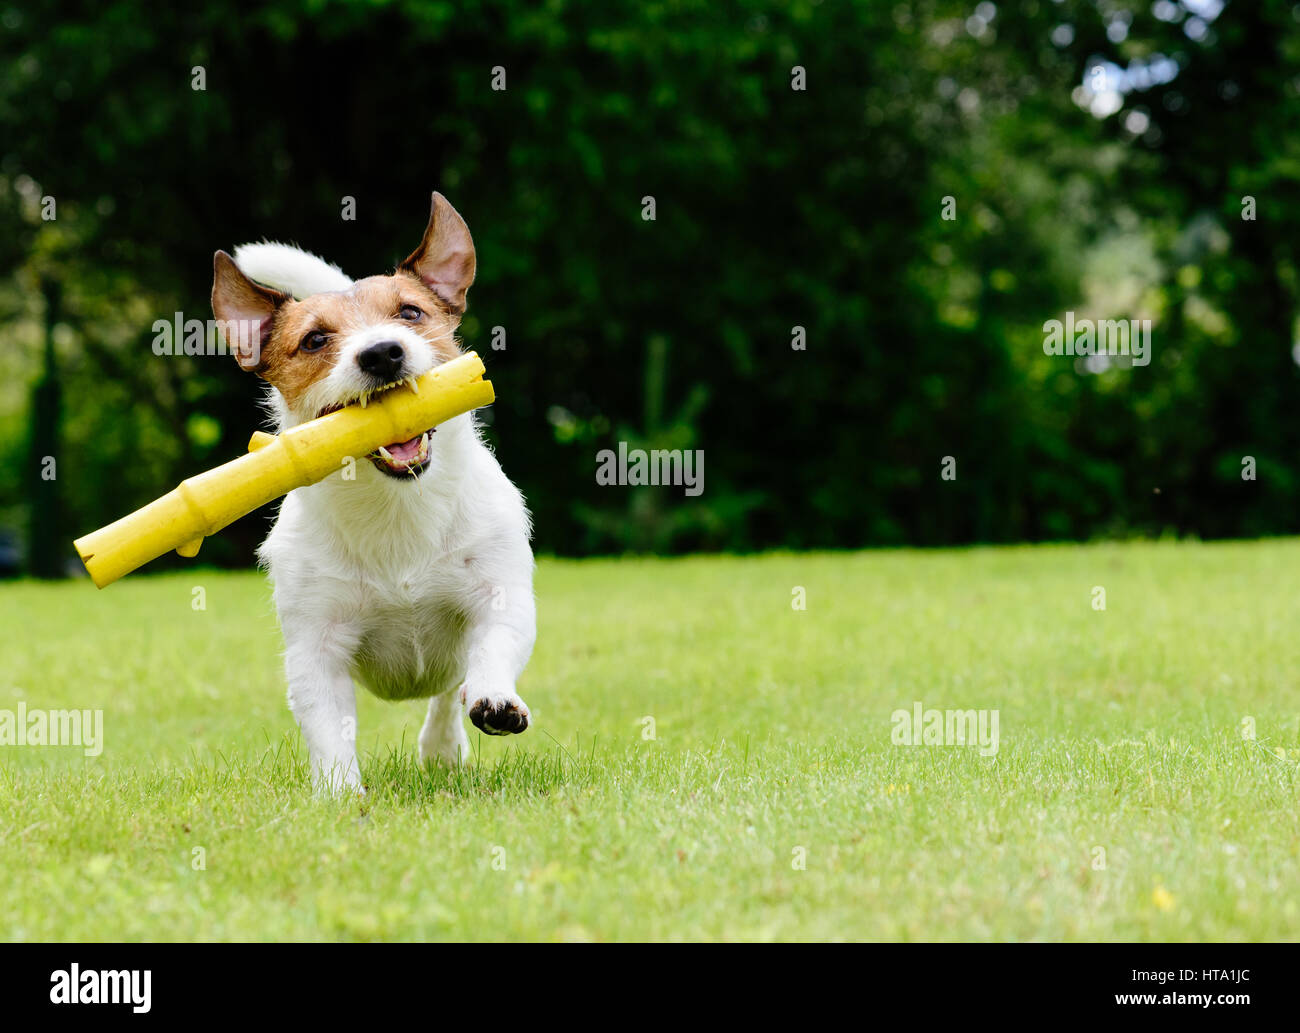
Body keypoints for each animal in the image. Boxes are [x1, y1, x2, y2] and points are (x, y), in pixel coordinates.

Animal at [210, 192, 535, 790]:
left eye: (410, 313)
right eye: (314, 339)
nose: (382, 352)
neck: (396, 507)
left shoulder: (500, 593)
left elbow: (493, 645)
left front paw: (495, 699)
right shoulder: (316, 647)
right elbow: (328, 729)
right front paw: (340, 796)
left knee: (448, 693)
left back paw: (443, 745)